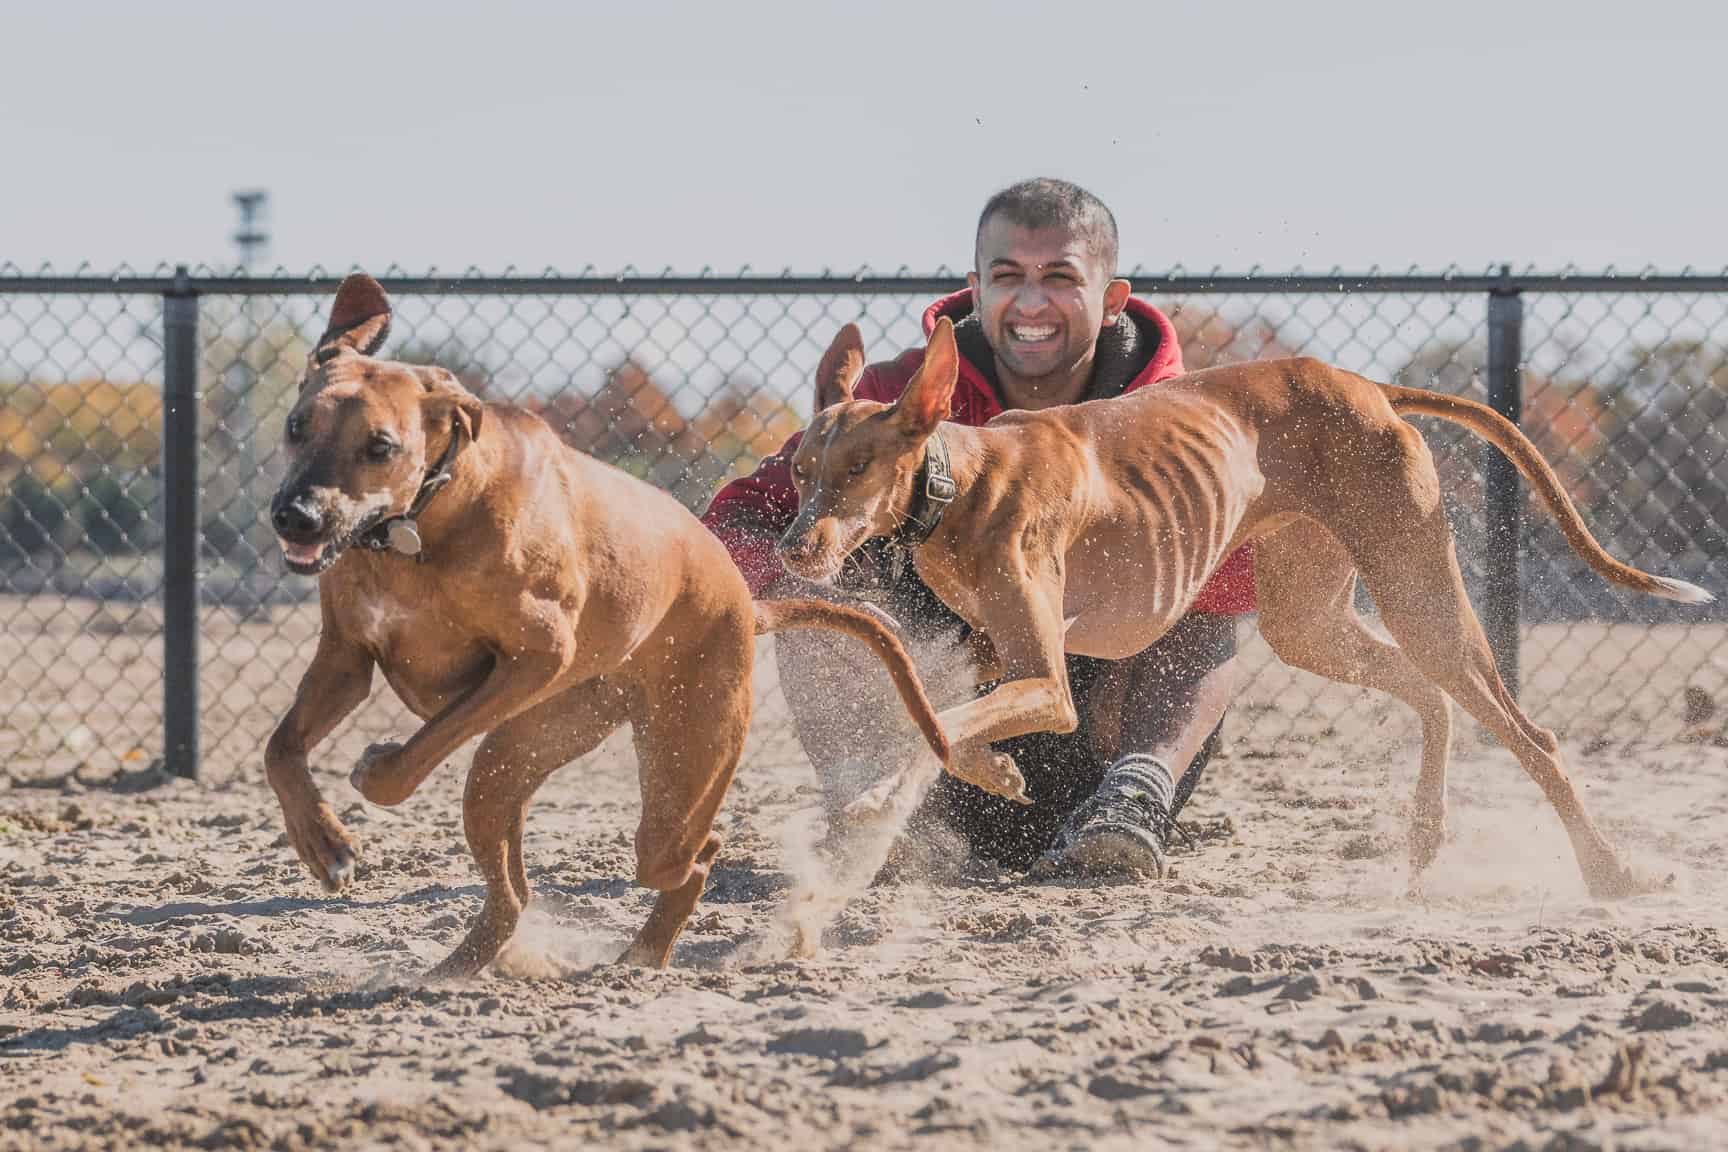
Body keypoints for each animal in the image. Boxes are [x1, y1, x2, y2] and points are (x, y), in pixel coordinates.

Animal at [262, 274, 953, 981]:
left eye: (380, 446)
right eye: (296, 427)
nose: (296, 517)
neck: (420, 526)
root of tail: (745, 600)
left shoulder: (540, 656)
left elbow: (407, 762)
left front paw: (372, 772)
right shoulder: (346, 656)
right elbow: (280, 749)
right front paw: (322, 842)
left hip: (677, 763)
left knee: (694, 852)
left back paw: (645, 948)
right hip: (516, 758)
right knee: (516, 889)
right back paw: (465, 966)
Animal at [784, 317, 1714, 898]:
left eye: (859, 467)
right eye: (800, 469)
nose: (794, 548)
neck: (962, 482)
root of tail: (1366, 384)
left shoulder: (1045, 676)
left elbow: (938, 722)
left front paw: (891, 796)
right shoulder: (995, 653)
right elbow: (942, 713)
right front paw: (995, 772)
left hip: (1422, 596)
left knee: (1532, 736)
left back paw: (1611, 874)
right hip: (1311, 623)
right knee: (1431, 697)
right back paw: (1425, 834)